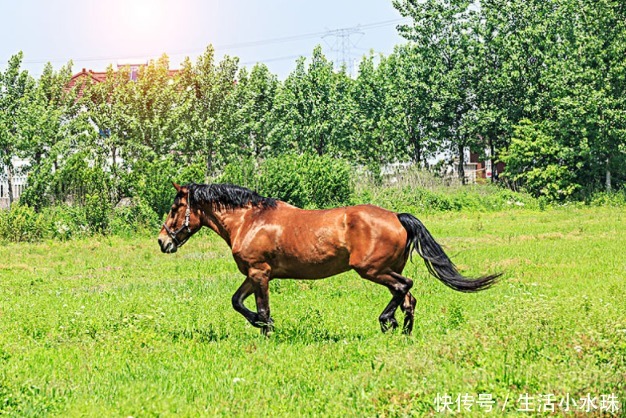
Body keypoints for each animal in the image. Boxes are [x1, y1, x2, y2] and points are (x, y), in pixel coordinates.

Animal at [158, 181, 500, 334]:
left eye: (175, 207)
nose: (163, 241)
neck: (250, 220)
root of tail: (397, 217)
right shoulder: (253, 275)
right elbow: (237, 302)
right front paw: (259, 323)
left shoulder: (259, 274)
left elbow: (261, 308)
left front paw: (266, 329)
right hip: (385, 270)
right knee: (408, 298)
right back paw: (402, 331)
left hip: (371, 270)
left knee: (405, 287)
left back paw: (386, 321)